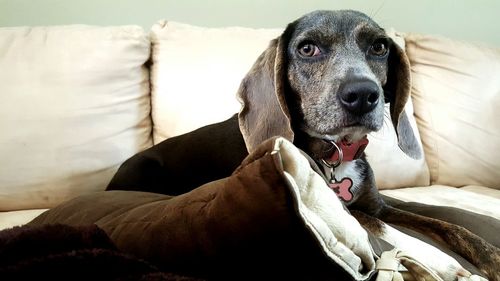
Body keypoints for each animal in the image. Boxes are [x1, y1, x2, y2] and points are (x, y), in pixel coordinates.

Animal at [108, 9, 500, 278]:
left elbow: (448, 223)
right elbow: (376, 225)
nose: (363, 94)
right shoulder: (346, 207)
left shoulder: (379, 203)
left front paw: (490, 255)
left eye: (379, 47)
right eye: (307, 49)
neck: (336, 151)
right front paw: (439, 260)